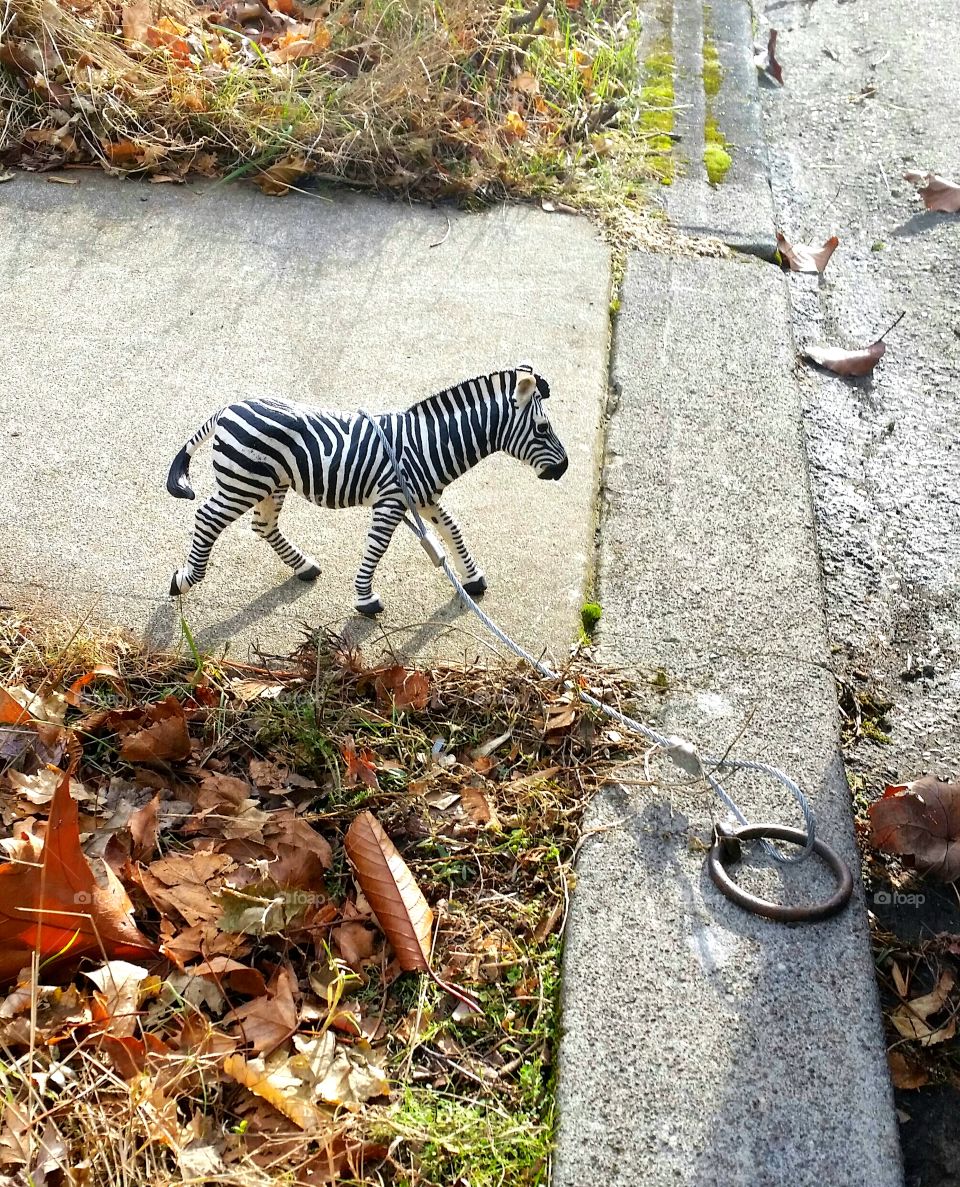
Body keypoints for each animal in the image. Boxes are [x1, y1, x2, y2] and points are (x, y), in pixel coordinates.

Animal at [166, 364, 569, 616]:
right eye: (543, 428)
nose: (564, 468)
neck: (430, 444)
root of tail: (227, 408)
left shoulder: (424, 497)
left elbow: (452, 529)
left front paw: (472, 580)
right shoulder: (391, 501)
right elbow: (377, 548)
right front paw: (365, 600)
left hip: (271, 483)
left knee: (262, 525)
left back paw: (304, 566)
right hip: (243, 482)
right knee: (207, 517)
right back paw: (185, 580)